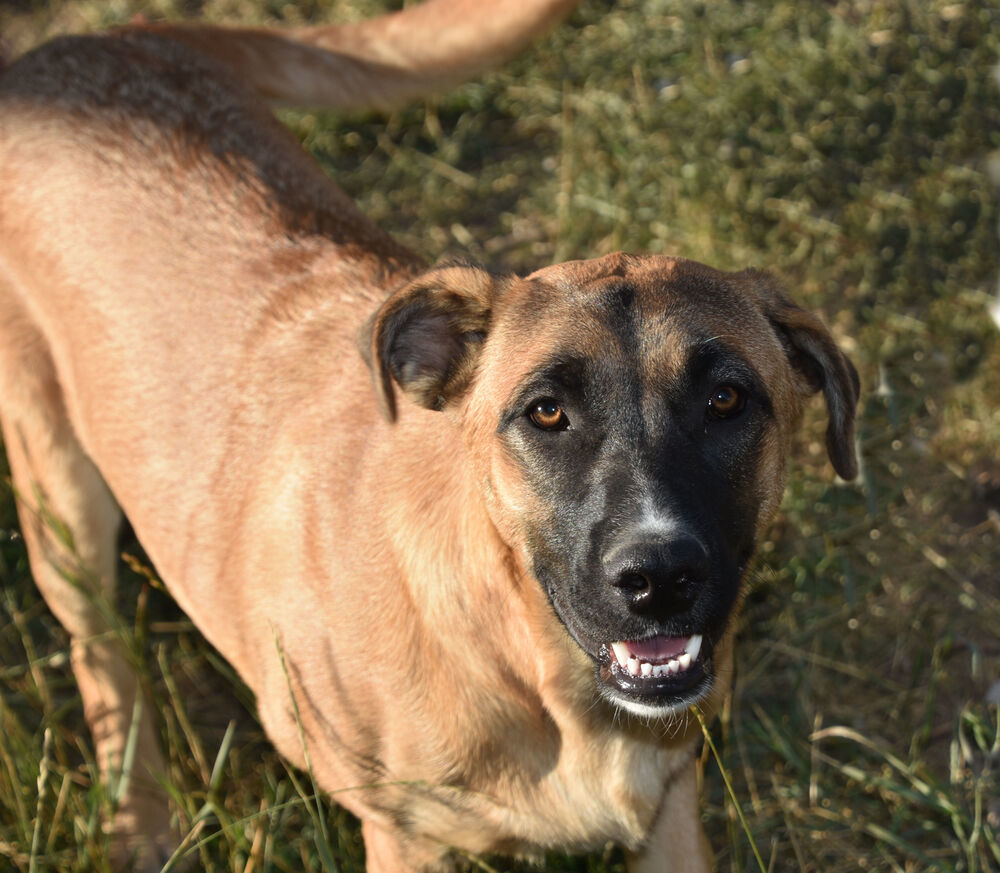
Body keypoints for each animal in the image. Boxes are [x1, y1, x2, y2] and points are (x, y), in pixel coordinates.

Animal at [0, 3, 860, 868]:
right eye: (546, 412)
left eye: (726, 398)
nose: (660, 577)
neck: (537, 669)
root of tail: (91, 43)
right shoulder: (406, 834)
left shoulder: (672, 805)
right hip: (56, 487)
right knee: (98, 648)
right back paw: (139, 811)